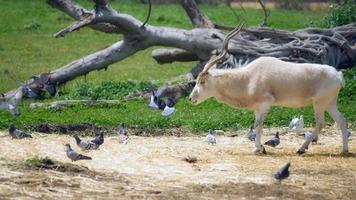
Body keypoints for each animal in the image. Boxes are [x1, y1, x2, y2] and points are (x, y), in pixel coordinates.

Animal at [191, 23, 350, 155]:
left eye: (202, 81)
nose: (191, 98)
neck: (248, 77)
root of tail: (338, 75)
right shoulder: (256, 108)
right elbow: (256, 125)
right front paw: (260, 148)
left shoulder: (265, 104)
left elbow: (258, 126)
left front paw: (258, 149)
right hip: (329, 103)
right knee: (342, 121)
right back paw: (344, 150)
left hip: (319, 103)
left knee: (320, 123)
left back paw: (301, 149)